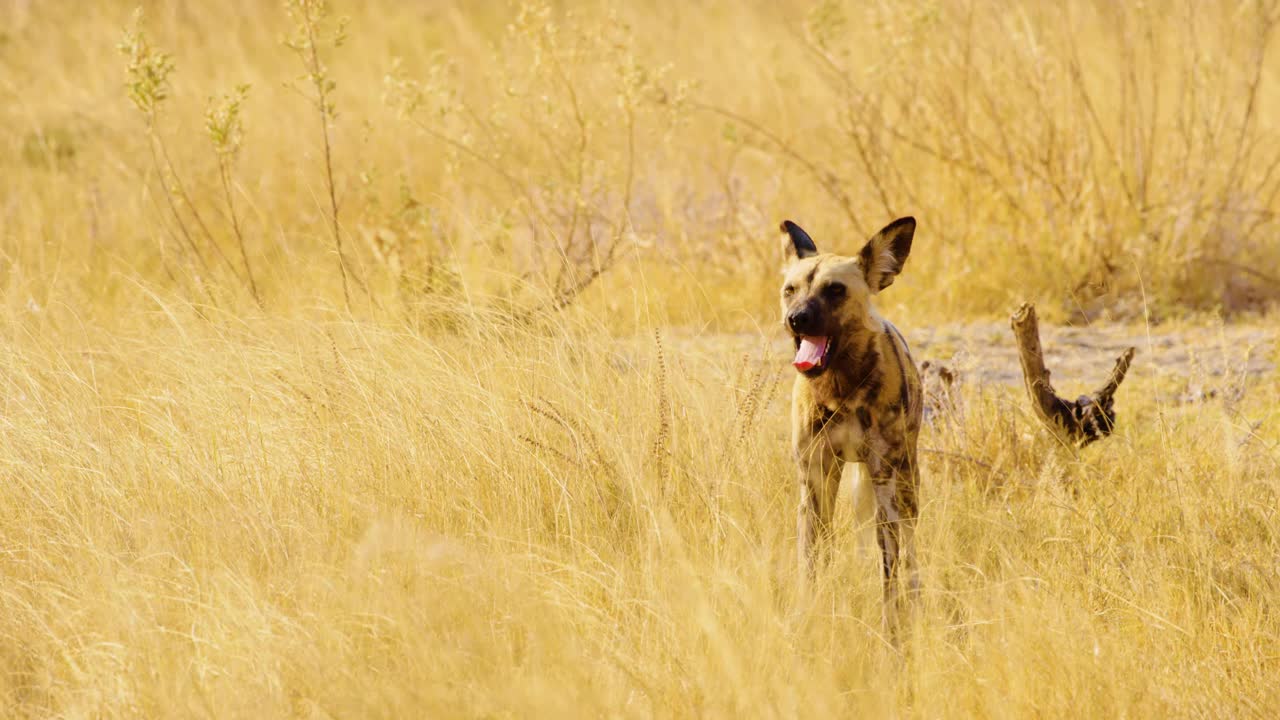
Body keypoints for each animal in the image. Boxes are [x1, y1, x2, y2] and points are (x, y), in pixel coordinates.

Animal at [778, 217, 921, 609]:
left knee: (910, 551)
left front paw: (894, 622)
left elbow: (889, 576)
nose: (796, 319)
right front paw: (809, 612)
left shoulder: (885, 483)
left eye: (835, 290)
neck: (841, 390)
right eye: (790, 290)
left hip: (906, 481)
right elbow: (812, 562)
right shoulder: (814, 481)